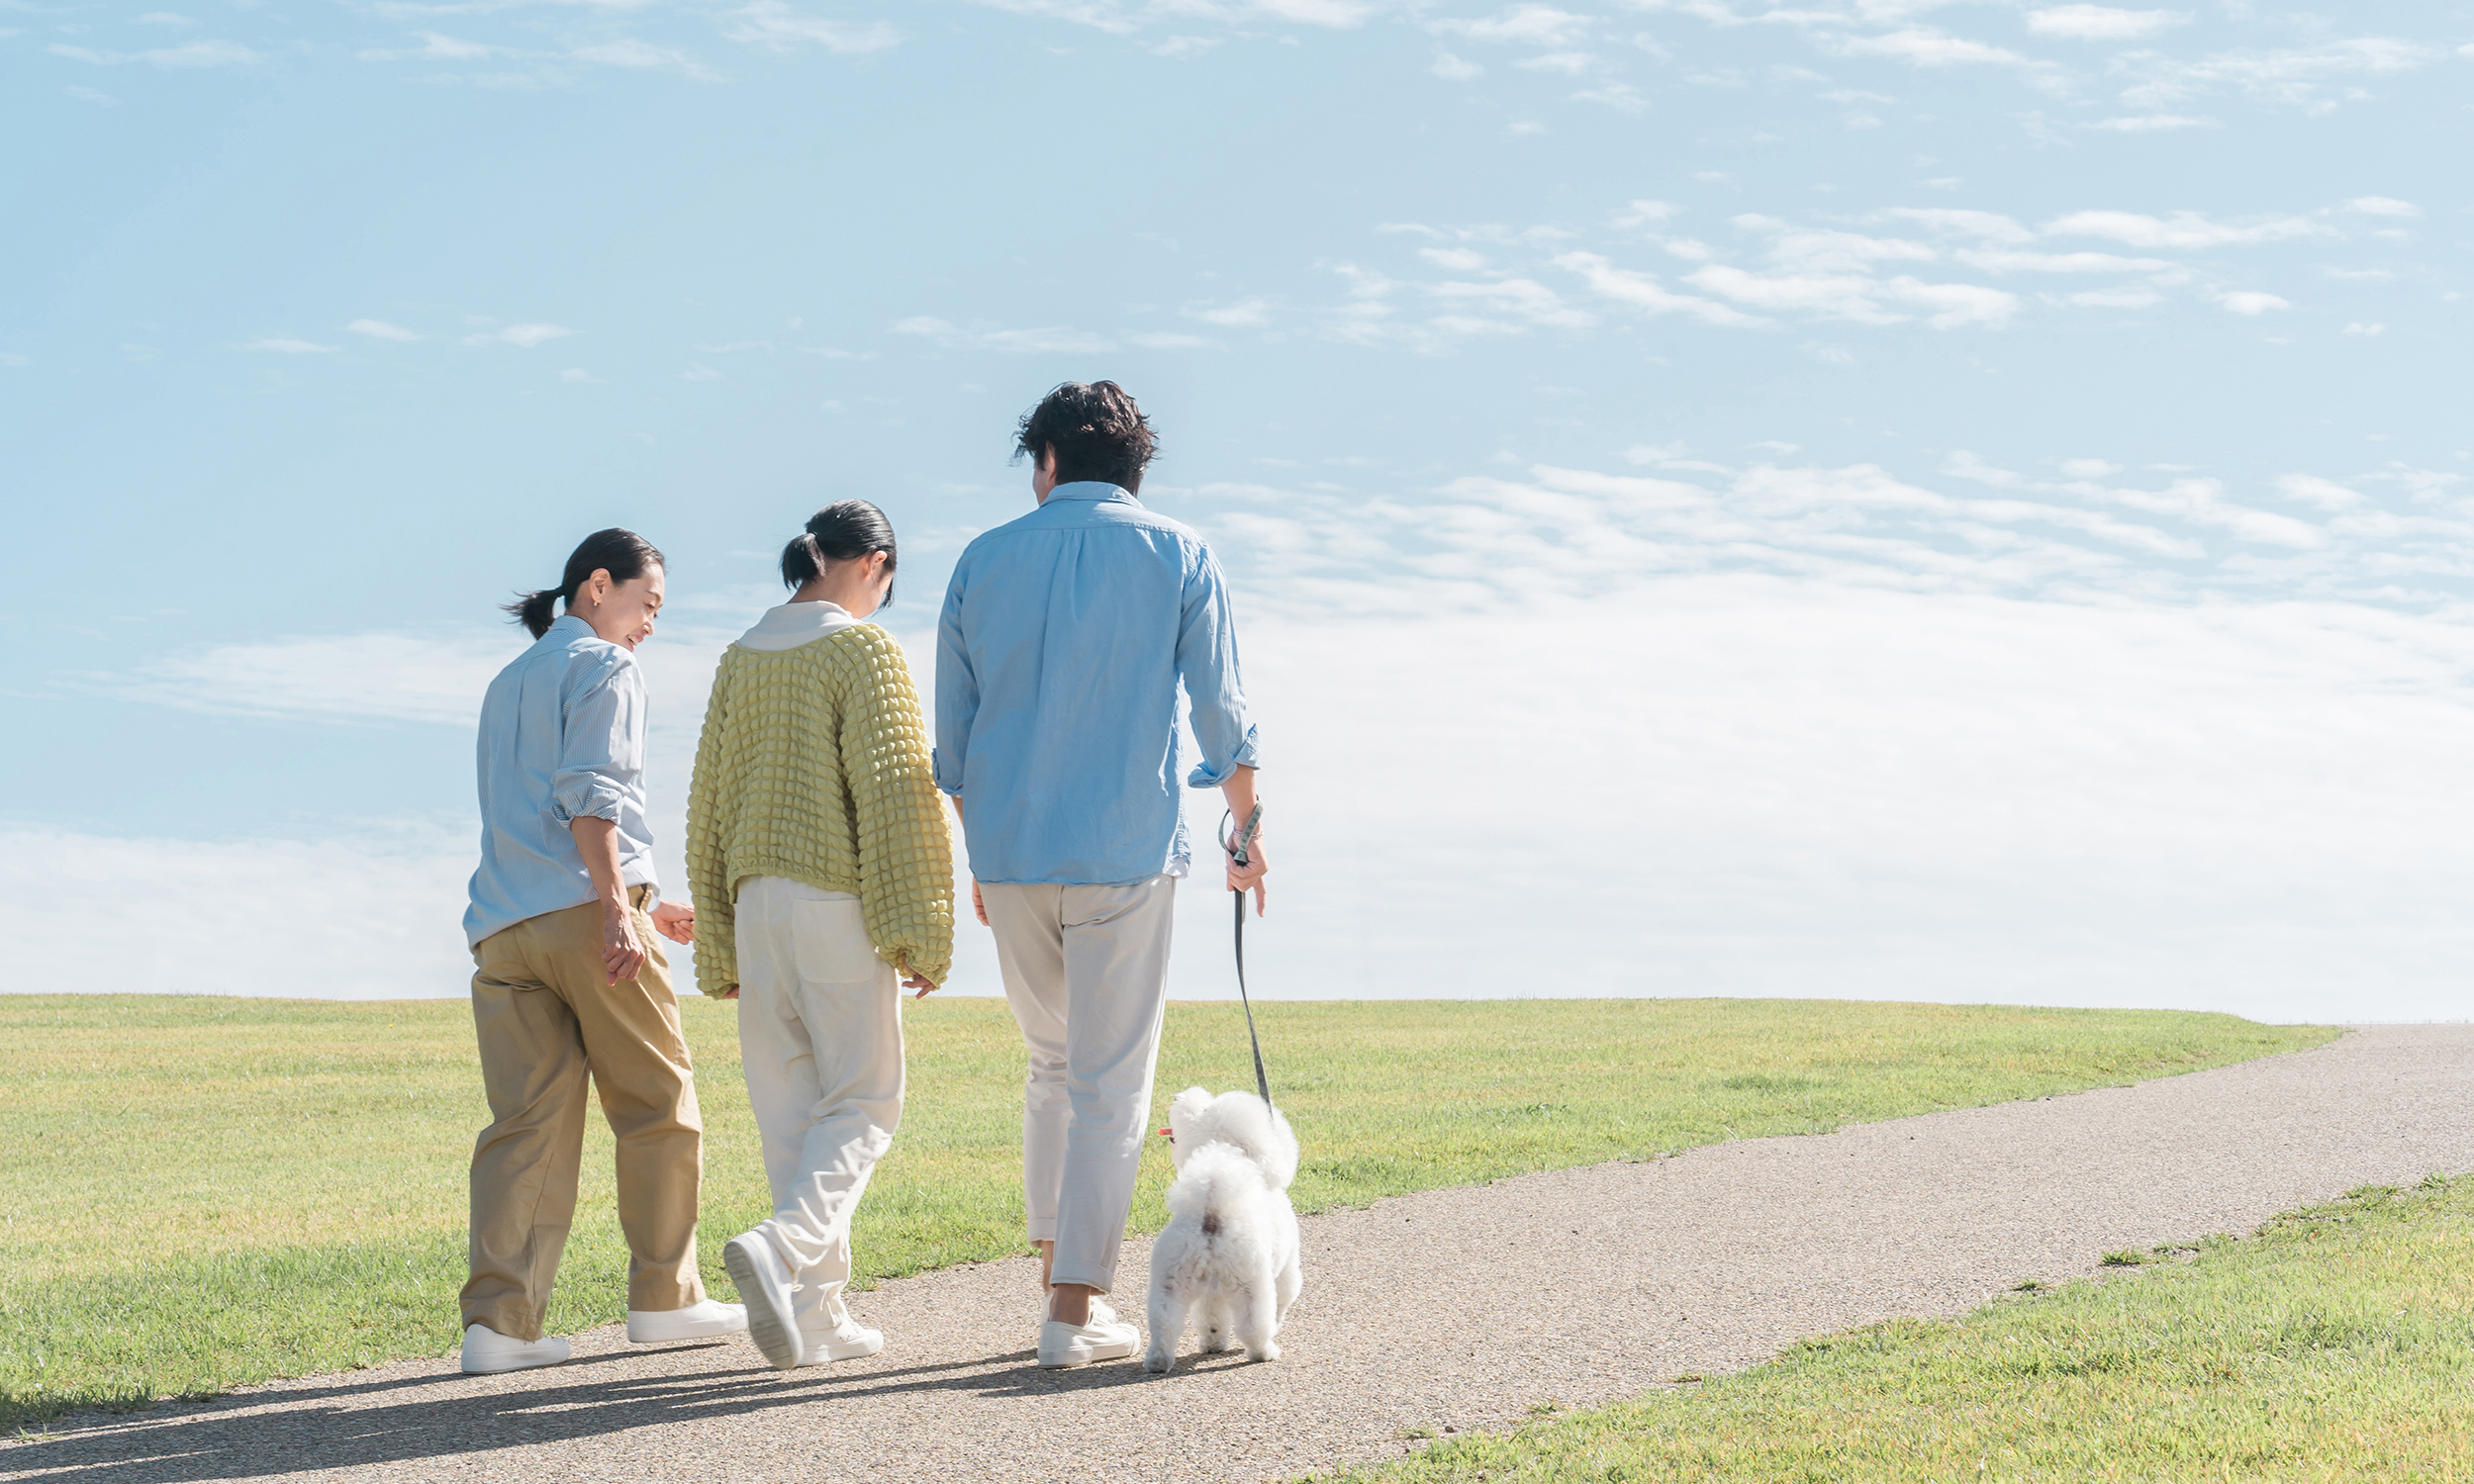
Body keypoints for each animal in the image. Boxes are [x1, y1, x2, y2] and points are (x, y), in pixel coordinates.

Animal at [1138, 1083, 1306, 1375]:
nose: (1177, 1096)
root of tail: (1211, 1213)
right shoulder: (1286, 1266)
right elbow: (1283, 1299)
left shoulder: (1210, 1293)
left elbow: (1212, 1319)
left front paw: (1213, 1343)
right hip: (1252, 1283)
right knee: (1254, 1325)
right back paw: (1264, 1352)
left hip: (1170, 1281)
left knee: (1165, 1324)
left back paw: (1158, 1361)